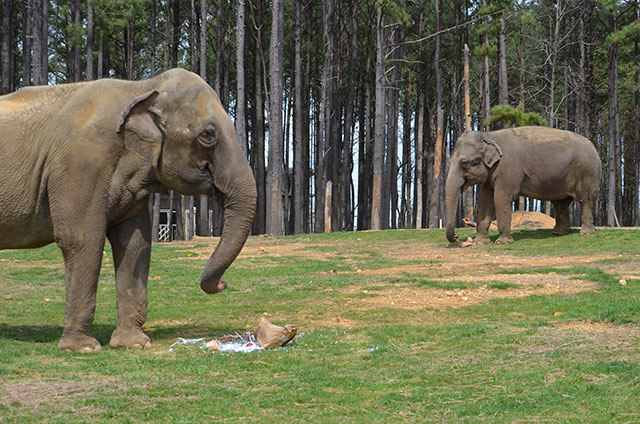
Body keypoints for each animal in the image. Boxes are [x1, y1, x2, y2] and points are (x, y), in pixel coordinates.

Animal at [0, 68, 255, 352]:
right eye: (209, 134)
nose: (223, 284)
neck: (142, 88)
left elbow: (134, 243)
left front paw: (134, 344)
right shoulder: (80, 165)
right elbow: (81, 239)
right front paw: (84, 348)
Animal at [444, 126, 600, 243]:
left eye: (466, 163)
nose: (457, 236)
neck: (489, 135)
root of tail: (594, 146)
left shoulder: (508, 169)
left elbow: (501, 198)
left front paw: (502, 242)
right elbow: (485, 200)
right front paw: (480, 242)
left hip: (587, 172)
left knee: (585, 200)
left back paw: (586, 233)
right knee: (560, 203)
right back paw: (559, 233)